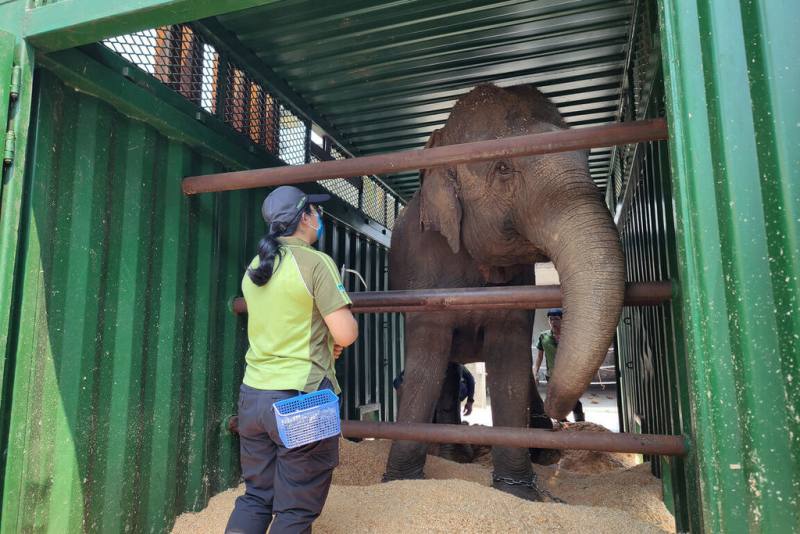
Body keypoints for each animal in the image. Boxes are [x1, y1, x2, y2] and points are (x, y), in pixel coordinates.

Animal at [383, 83, 625, 500]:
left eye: (585, 154)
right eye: (503, 168)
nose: (564, 413)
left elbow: (510, 356)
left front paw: (521, 494)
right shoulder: (422, 266)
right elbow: (427, 358)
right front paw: (397, 483)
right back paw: (455, 455)